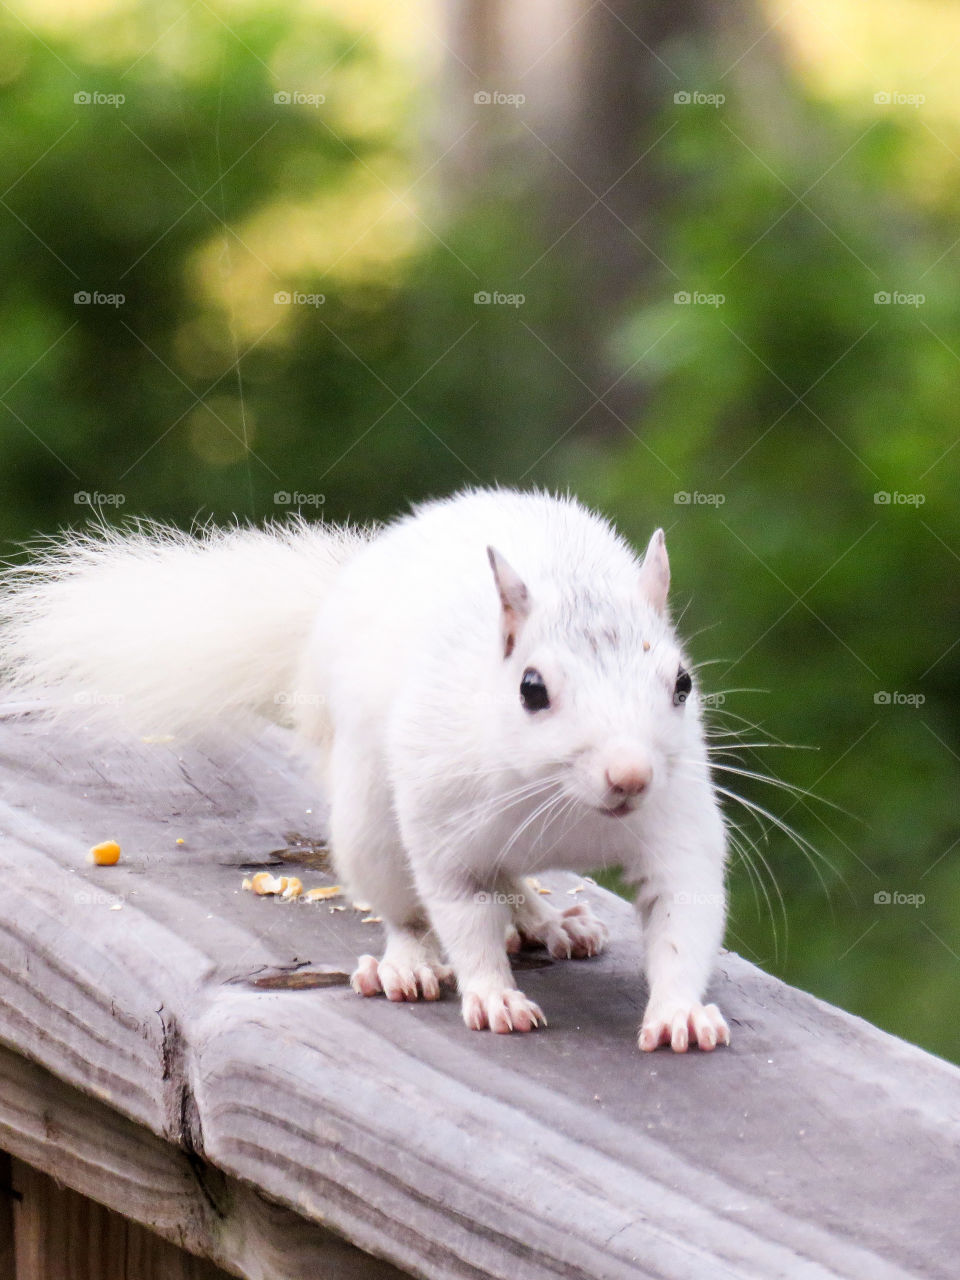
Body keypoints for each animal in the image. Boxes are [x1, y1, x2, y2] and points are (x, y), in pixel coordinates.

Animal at [0, 488, 730, 1052]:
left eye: (682, 683)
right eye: (531, 689)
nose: (631, 777)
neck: (567, 803)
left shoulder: (677, 823)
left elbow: (682, 916)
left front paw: (679, 1013)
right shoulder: (446, 822)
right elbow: (463, 913)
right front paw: (494, 996)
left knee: (513, 881)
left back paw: (550, 923)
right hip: (371, 826)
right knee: (410, 909)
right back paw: (405, 965)